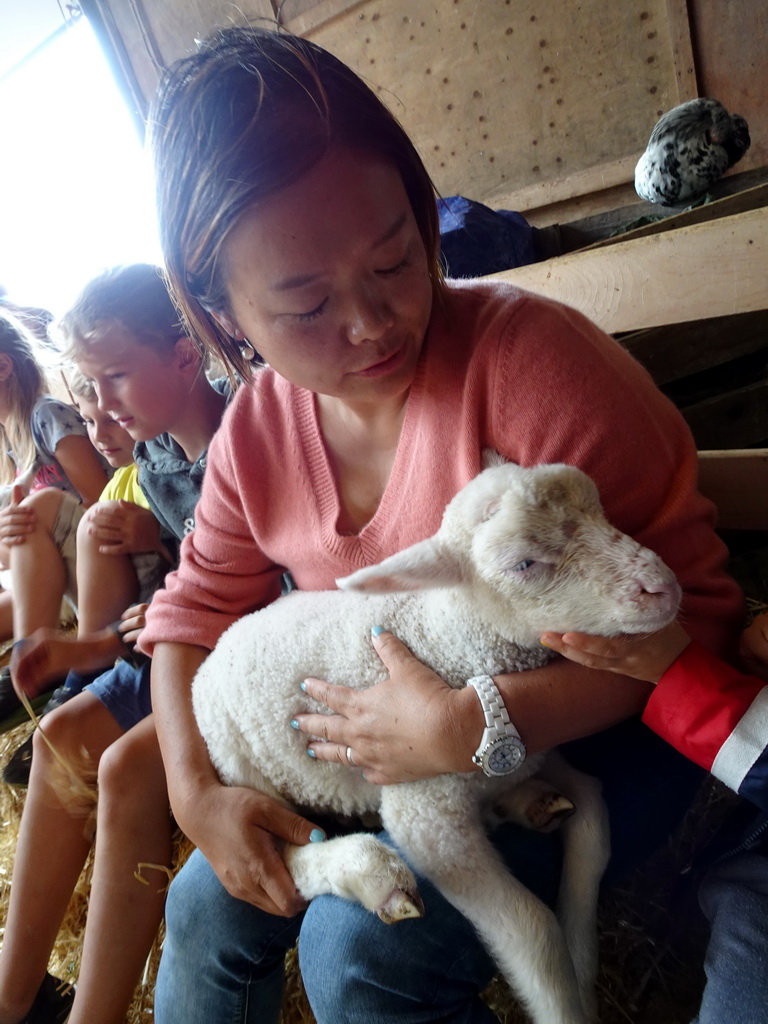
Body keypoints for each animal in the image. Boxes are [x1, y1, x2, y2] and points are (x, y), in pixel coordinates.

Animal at [191, 462, 679, 1024]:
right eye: (524, 564)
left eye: (599, 509)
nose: (664, 589)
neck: (444, 637)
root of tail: (223, 641)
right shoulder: (425, 814)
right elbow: (534, 930)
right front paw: (566, 1001)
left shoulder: (533, 752)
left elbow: (595, 818)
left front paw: (582, 966)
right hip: (238, 760)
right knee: (277, 851)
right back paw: (368, 870)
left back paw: (524, 805)